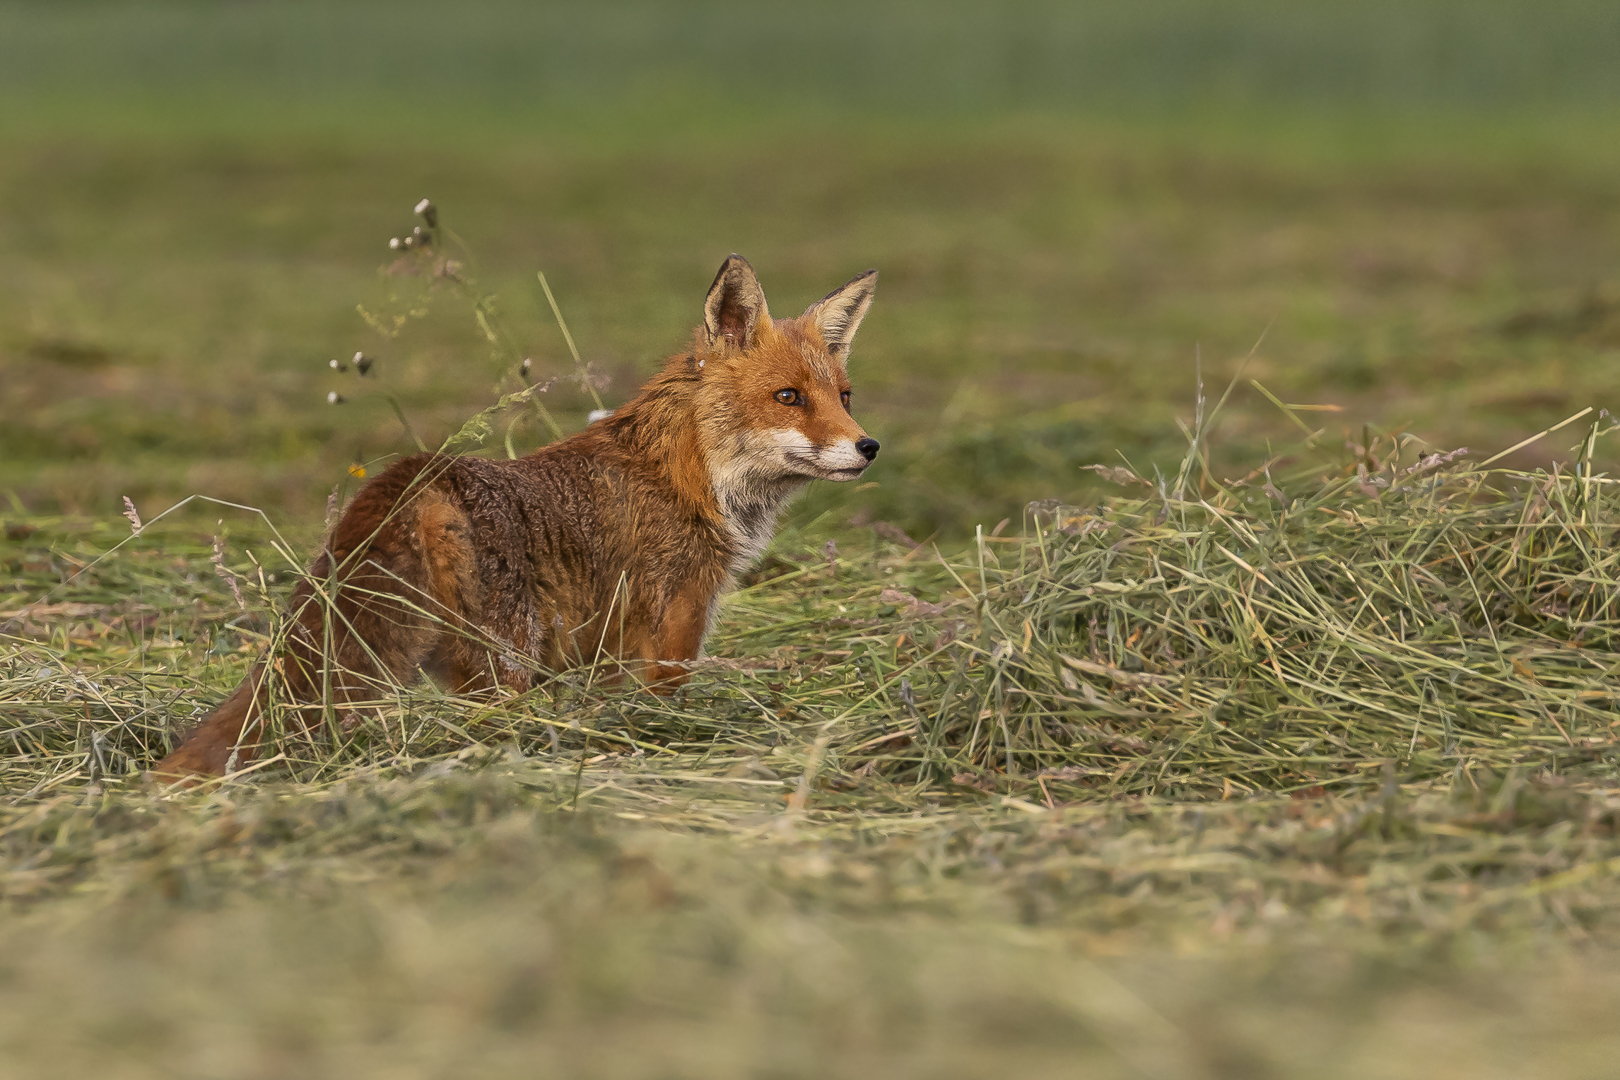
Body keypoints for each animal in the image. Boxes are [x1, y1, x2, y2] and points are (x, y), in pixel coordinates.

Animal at [150, 255, 881, 777]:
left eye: (844, 396)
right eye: (788, 397)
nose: (868, 446)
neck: (687, 474)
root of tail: (413, 473)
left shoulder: (606, 660)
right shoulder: (673, 631)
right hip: (507, 671)